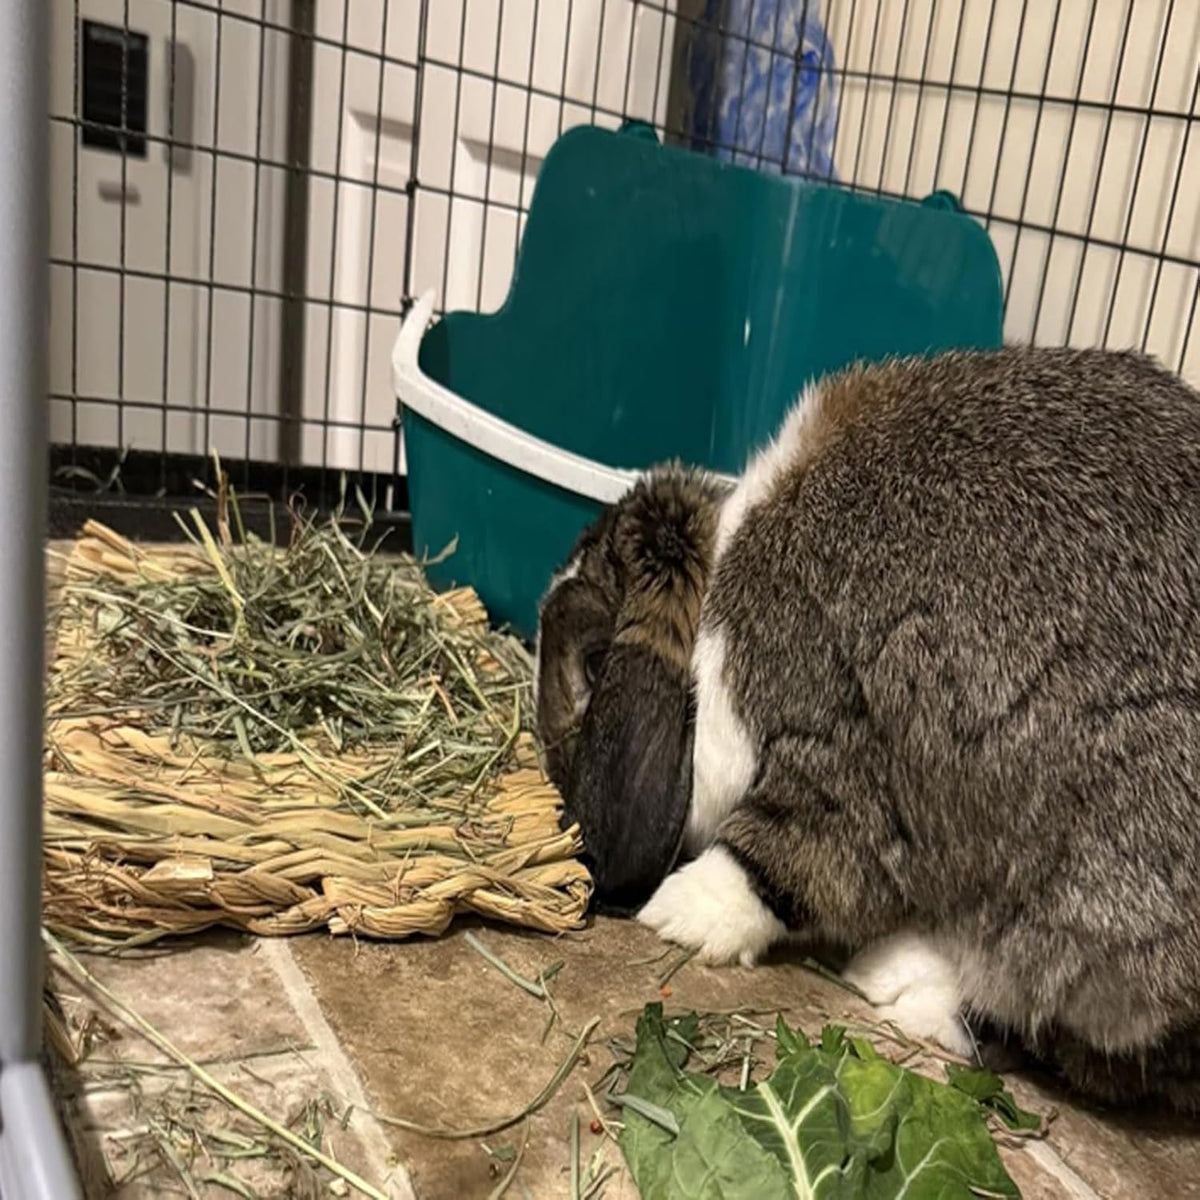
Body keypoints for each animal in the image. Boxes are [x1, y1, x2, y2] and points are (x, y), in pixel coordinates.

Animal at [534, 344, 1200, 1112]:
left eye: (590, 665)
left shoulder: (835, 743)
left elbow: (780, 859)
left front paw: (679, 913)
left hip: (1096, 920)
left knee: (1089, 1048)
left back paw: (900, 985)